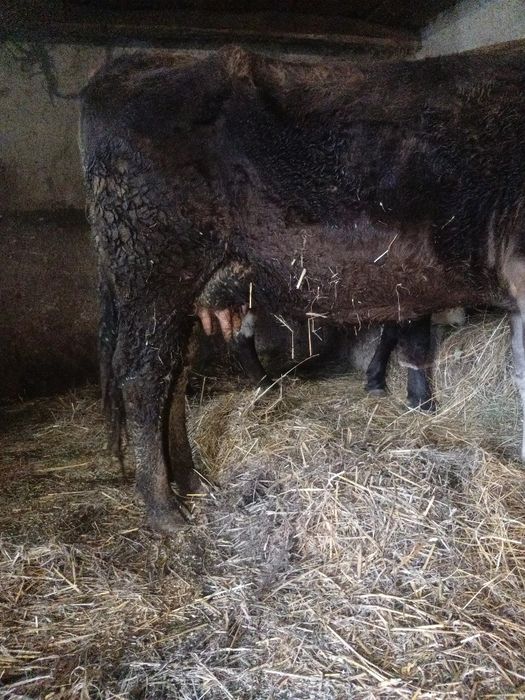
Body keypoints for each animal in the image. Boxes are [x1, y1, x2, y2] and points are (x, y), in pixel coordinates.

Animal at [80, 45, 525, 534]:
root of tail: (129, 63)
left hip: (187, 295)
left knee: (174, 379)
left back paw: (192, 481)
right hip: (154, 276)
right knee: (144, 378)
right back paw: (165, 511)